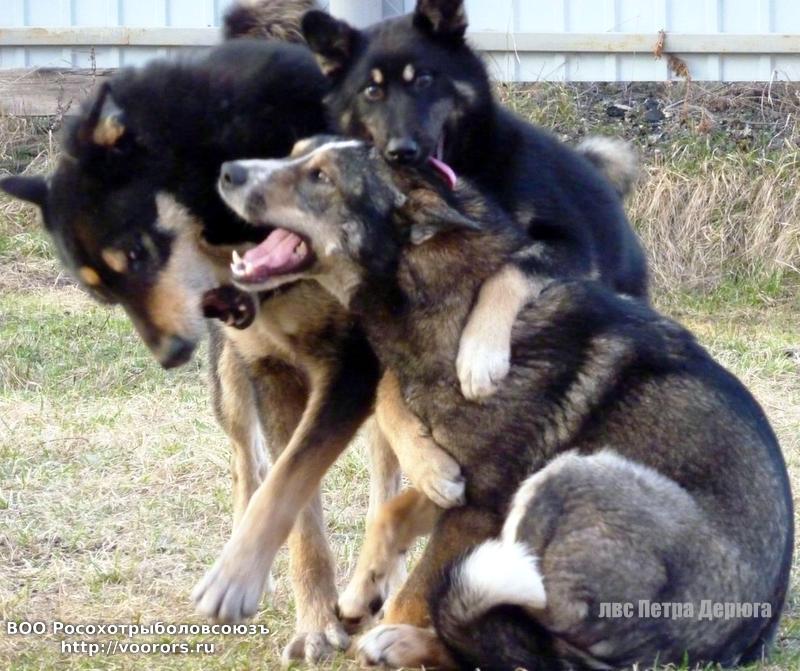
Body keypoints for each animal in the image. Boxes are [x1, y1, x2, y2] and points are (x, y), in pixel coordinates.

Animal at [214, 137, 793, 670]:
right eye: (295, 152)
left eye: (321, 177)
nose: (227, 171)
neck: (445, 296)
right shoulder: (464, 479)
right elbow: (398, 510)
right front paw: (362, 591)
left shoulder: (482, 504)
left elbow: (420, 589)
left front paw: (386, 625)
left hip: (571, 475)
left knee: (498, 638)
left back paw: (406, 643)